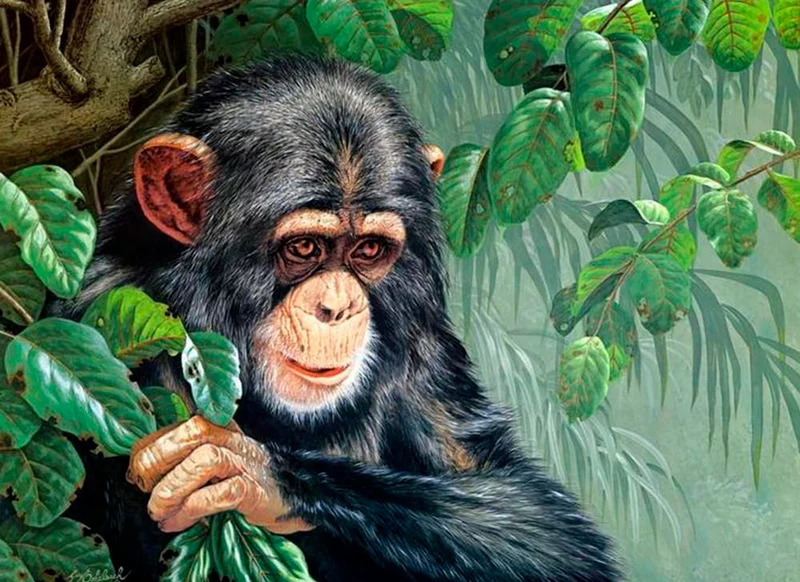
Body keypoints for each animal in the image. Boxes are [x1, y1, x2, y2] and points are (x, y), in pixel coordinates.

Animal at [56, 55, 623, 581]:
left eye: (368, 249)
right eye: (304, 247)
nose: (338, 307)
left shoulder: (425, 341)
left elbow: (545, 526)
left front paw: (254, 473)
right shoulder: (108, 322)